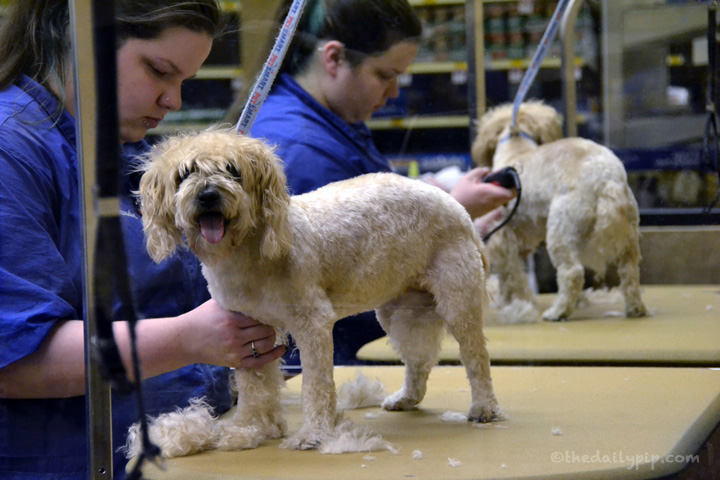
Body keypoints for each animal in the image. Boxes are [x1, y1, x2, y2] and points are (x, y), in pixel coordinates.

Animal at [136, 128, 501, 456]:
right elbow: (255, 389)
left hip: (457, 302)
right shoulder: (247, 331)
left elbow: (316, 386)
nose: (208, 194)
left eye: (233, 171)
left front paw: (312, 435)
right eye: (185, 174)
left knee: (476, 358)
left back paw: (484, 408)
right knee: (420, 360)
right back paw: (406, 398)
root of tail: (459, 209)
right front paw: (250, 430)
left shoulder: (313, 324)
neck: (250, 255)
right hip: (402, 312)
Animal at [473, 101, 647, 322]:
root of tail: (606, 178)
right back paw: (635, 308)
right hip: (628, 236)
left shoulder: (503, 238)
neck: (517, 148)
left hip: (560, 231)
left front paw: (518, 301)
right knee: (630, 272)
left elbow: (513, 276)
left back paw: (558, 311)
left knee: (572, 272)